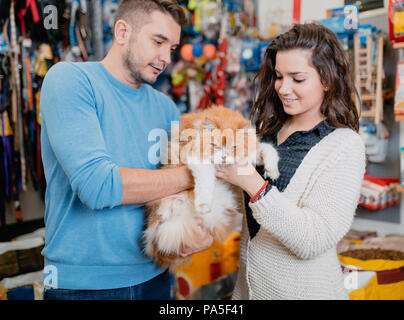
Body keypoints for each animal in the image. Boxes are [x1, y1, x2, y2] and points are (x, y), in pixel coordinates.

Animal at [144, 105, 280, 270]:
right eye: (215, 146)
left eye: (233, 147)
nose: (223, 157)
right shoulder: (198, 160)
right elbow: (206, 182)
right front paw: (203, 205)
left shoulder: (253, 151)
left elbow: (268, 149)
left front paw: (272, 170)